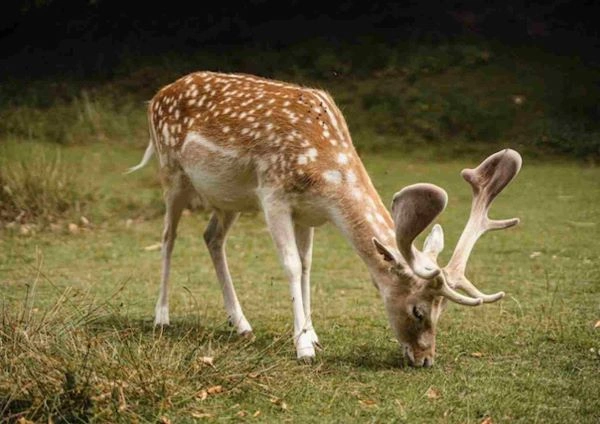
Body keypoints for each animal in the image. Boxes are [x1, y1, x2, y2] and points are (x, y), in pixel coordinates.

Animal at [129, 70, 524, 368]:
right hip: (172, 173)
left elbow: (306, 267)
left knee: (212, 237)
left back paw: (240, 322)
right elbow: (290, 265)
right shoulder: (273, 195)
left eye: (442, 310)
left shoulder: (309, 214)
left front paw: (313, 334)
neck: (324, 175)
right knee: (167, 237)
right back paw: (161, 316)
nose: (425, 359)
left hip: (228, 199)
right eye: (418, 311)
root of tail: (157, 95)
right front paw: (303, 348)